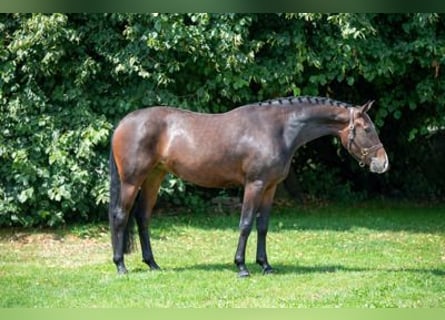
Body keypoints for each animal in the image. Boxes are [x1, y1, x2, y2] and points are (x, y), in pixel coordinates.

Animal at [108, 96, 388, 276]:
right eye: (366, 128)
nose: (383, 163)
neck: (277, 129)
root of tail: (123, 122)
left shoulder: (270, 188)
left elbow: (262, 226)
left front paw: (265, 265)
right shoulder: (254, 185)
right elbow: (245, 224)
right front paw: (241, 266)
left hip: (154, 177)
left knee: (143, 217)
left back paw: (153, 264)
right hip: (132, 180)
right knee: (120, 215)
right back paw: (121, 266)